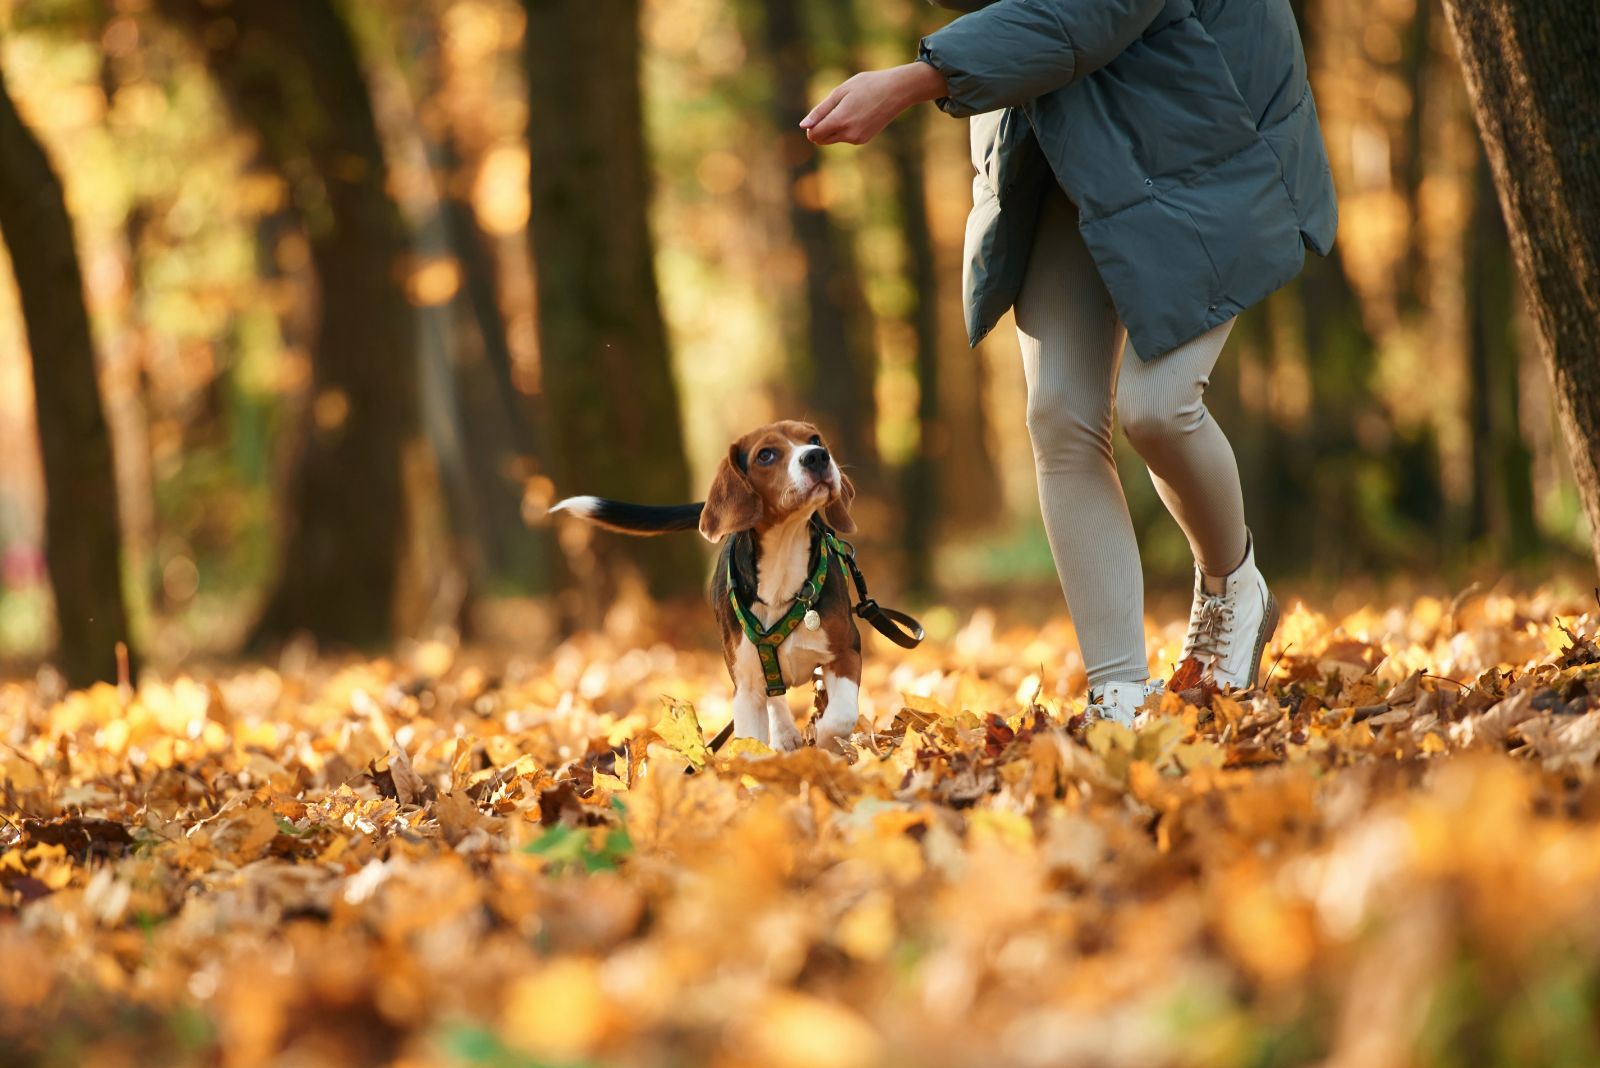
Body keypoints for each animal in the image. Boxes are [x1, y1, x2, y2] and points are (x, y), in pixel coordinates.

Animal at [553, 422, 876, 754]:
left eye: (814, 439)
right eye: (766, 455)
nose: (817, 457)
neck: (782, 569)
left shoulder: (846, 650)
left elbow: (840, 717)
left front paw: (824, 740)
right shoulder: (746, 689)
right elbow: (750, 747)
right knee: (776, 699)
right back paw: (785, 733)